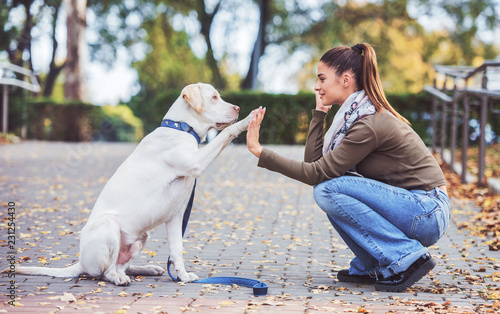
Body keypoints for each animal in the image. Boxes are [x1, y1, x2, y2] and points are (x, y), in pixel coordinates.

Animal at [11, 83, 254, 284]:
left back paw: (148, 269)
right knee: (107, 272)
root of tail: (80, 263)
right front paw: (249, 120)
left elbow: (176, 250)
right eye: (214, 97)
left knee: (123, 266)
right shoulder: (196, 162)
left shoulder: (175, 216)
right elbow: (227, 133)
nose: (238, 108)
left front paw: (183, 276)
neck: (180, 129)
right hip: (109, 226)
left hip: (141, 236)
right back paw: (118, 278)